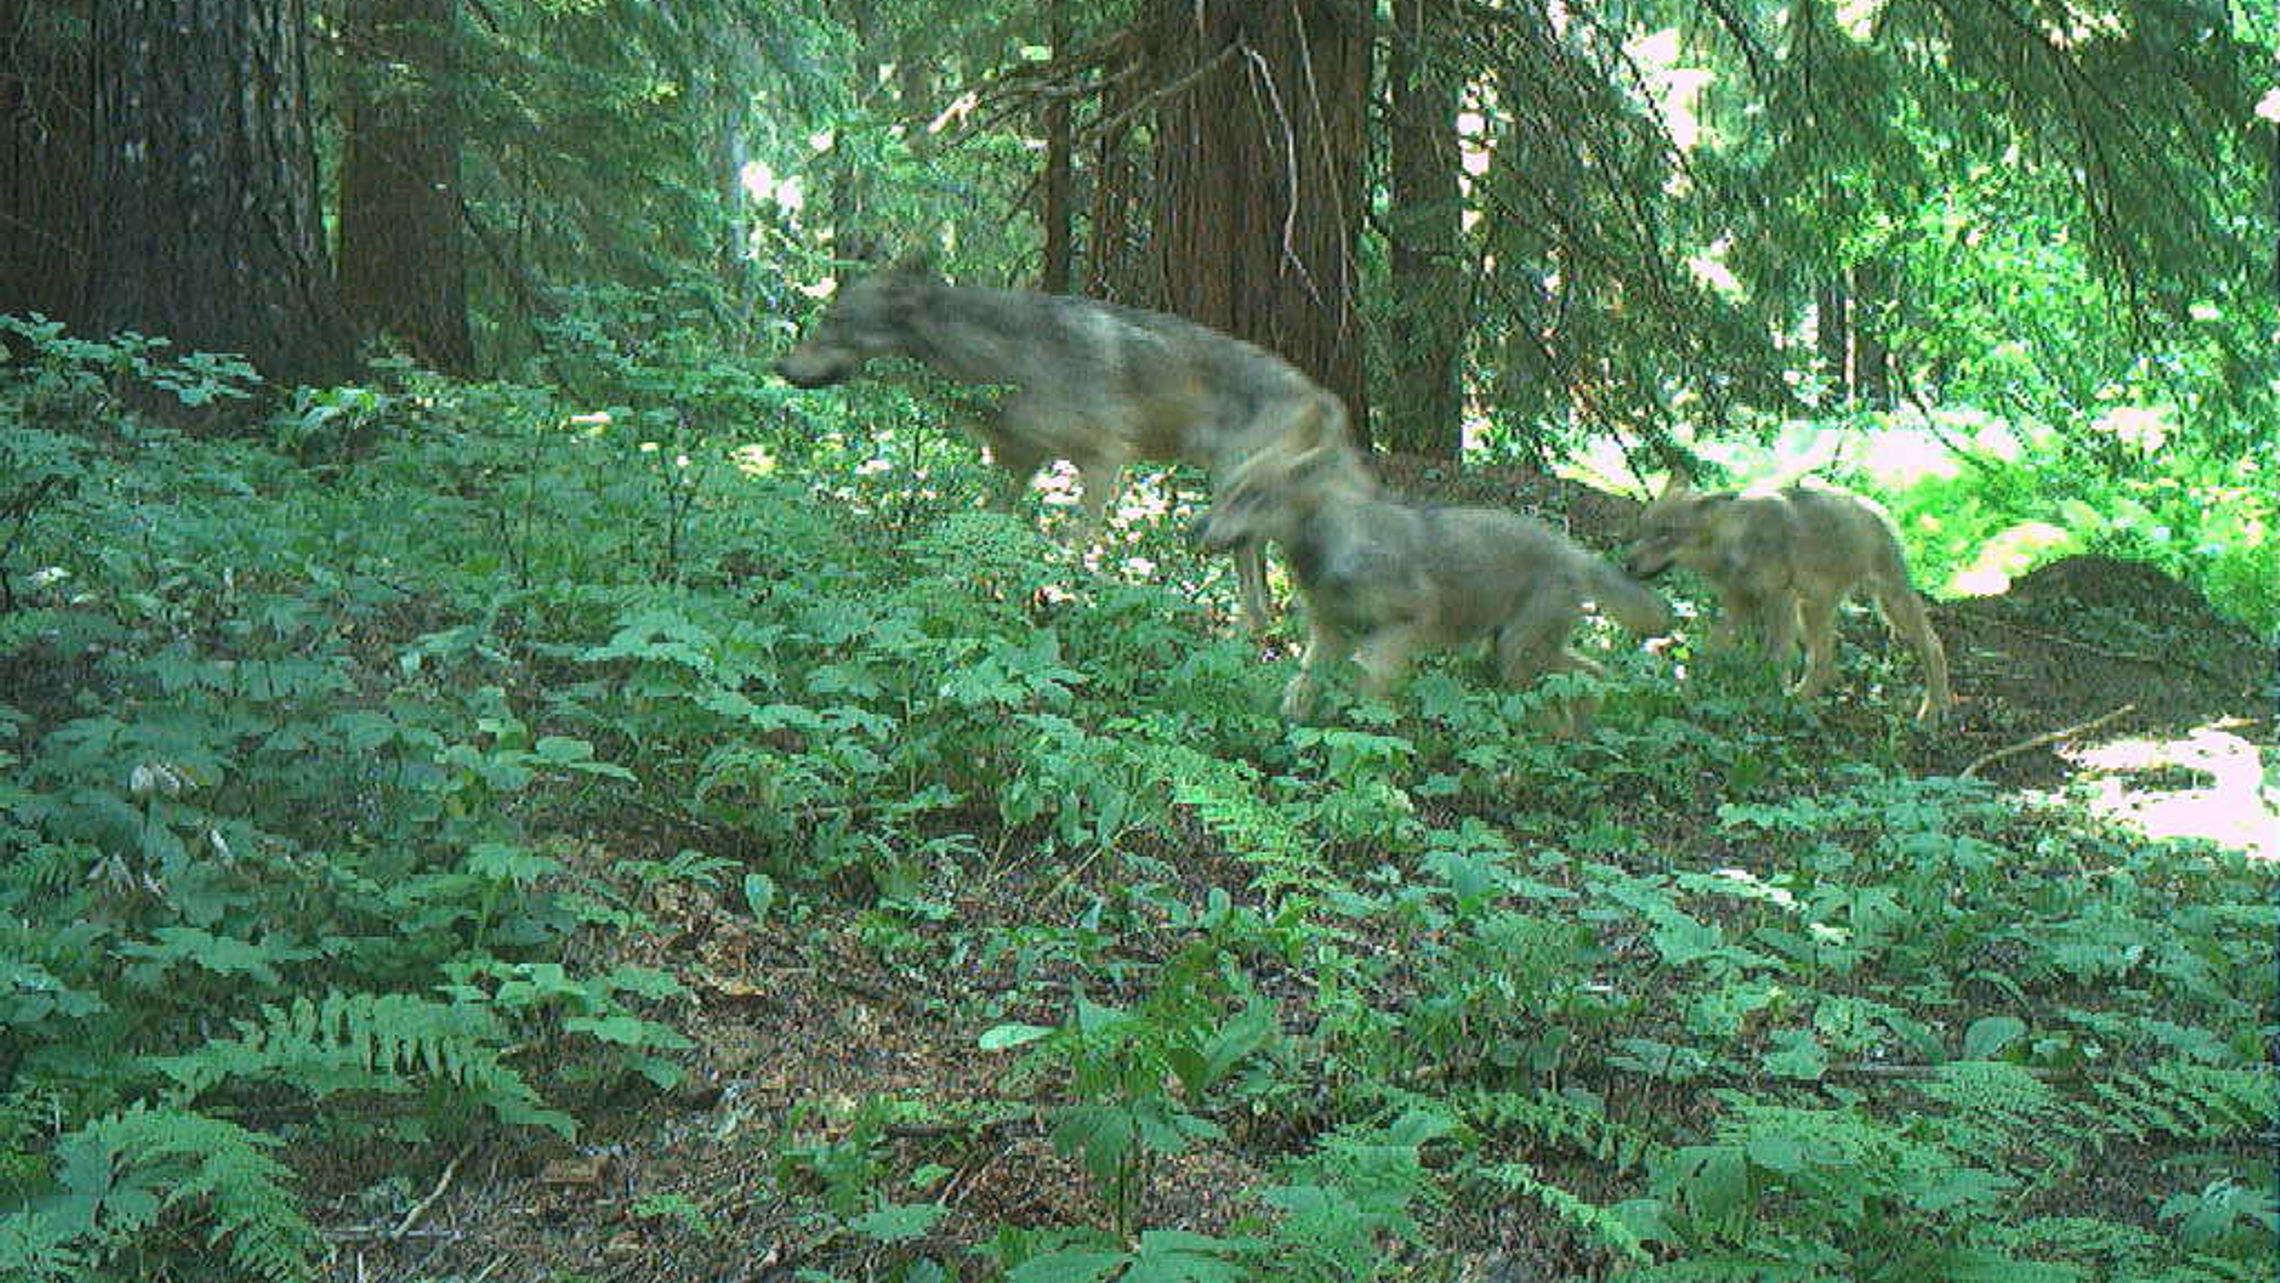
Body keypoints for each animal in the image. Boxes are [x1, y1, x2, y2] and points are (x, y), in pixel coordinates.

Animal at [775, 258, 1354, 631]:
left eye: (834, 322)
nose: (779, 366)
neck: (1005, 357)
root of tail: (1323, 396)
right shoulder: (1014, 464)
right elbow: (979, 534)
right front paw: (964, 591)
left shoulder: (1104, 460)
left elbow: (1073, 549)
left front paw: (1057, 600)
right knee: (1262, 607)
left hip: (1237, 502)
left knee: (1265, 600)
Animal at [1191, 419, 1672, 727]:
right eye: (1227, 492)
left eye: (1250, 496)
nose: (1195, 528)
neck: (1327, 549)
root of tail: (1573, 551)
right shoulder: (1328, 635)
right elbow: (1302, 689)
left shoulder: (1401, 628)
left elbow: (1370, 694)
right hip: (1512, 653)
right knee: (1592, 674)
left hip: (1517, 658)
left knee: (1566, 695)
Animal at [1622, 478, 1955, 722]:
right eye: (1643, 529)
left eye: (1666, 533)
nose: (1628, 564)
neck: (1734, 542)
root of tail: (1873, 506)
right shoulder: (1739, 606)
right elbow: (1710, 650)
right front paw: (1688, 685)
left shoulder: (1779, 598)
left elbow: (1776, 657)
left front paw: (1768, 698)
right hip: (1815, 609)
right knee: (1825, 661)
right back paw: (1801, 700)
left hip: (1889, 605)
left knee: (1933, 645)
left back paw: (1933, 712)